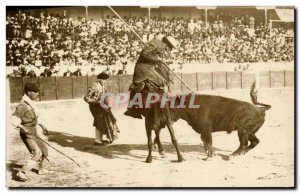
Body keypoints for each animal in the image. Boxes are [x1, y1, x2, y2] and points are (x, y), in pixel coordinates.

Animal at [139, 85, 270, 162]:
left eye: (166, 106)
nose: (156, 125)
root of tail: (260, 109)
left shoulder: (207, 129)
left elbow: (209, 142)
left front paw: (208, 157)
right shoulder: (203, 131)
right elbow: (205, 143)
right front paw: (207, 154)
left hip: (243, 130)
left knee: (244, 143)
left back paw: (232, 155)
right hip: (249, 131)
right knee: (254, 142)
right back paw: (240, 154)